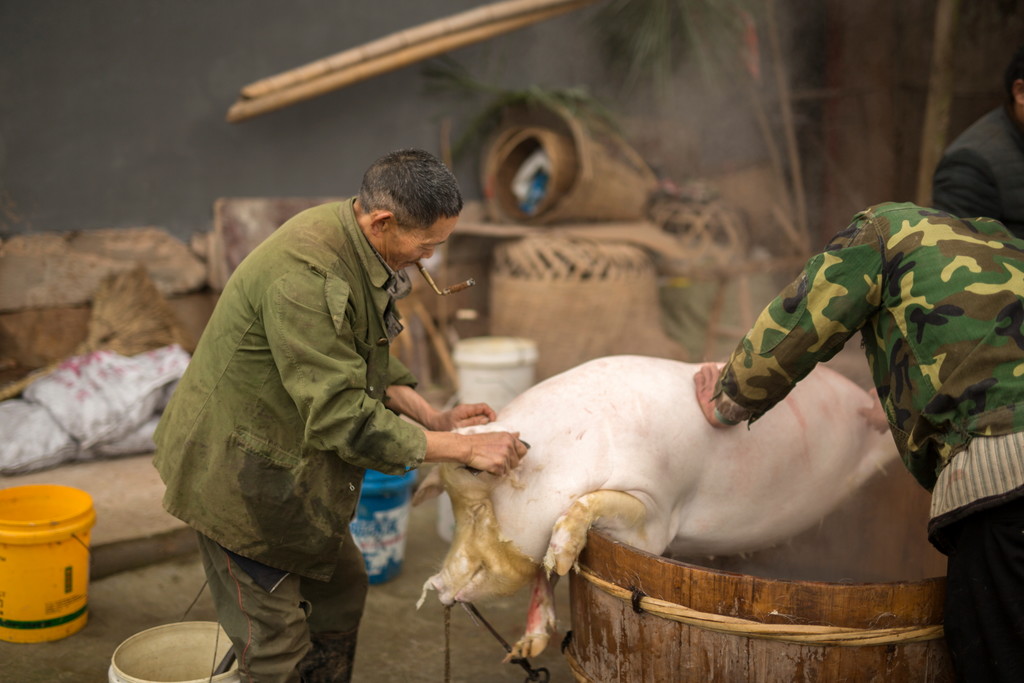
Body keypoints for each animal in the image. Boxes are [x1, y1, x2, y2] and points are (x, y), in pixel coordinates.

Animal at [413, 356, 897, 659]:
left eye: (478, 507)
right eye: (455, 505)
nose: (437, 584)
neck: (556, 460)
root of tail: (866, 403)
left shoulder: (655, 516)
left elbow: (585, 513)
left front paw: (562, 556)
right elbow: (541, 574)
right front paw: (522, 651)